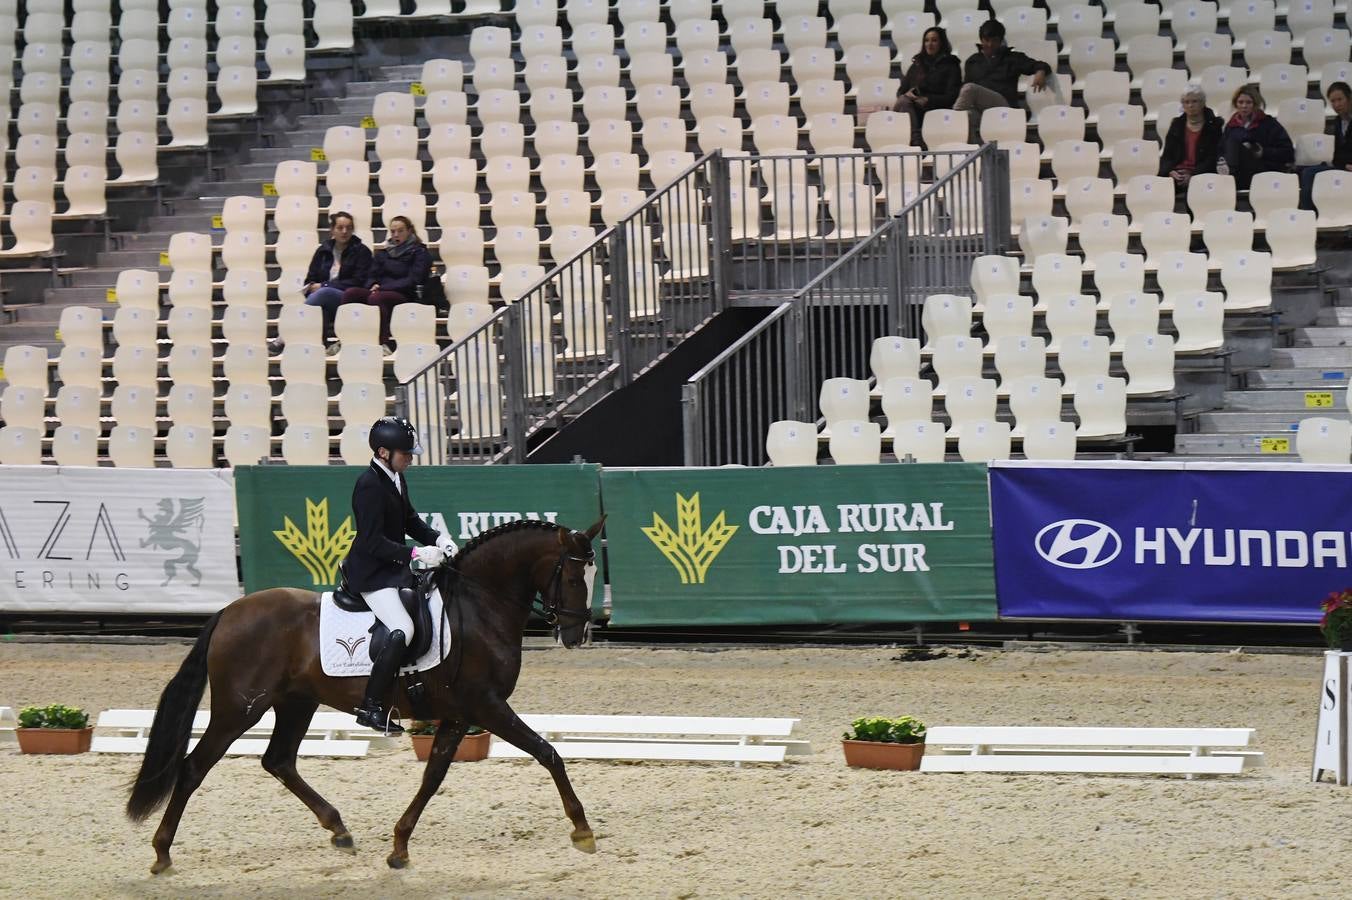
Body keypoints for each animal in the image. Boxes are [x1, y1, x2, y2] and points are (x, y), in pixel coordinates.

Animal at [125, 516, 602, 870]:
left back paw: (339, 829)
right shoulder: (486, 706)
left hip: (296, 703)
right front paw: (582, 830)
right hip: (238, 710)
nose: (578, 635)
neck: (478, 608)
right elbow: (548, 753)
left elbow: (433, 778)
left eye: (594, 573)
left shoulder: (458, 714)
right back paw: (162, 853)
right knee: (193, 768)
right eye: (573, 576)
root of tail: (229, 610)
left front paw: (399, 847)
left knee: (279, 760)